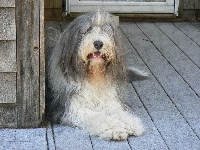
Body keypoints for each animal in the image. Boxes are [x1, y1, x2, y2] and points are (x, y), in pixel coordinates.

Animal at [46, 9, 148, 140]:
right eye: (87, 30)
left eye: (106, 30)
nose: (98, 43)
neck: (94, 76)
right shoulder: (71, 107)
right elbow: (96, 116)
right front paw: (115, 128)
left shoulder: (109, 99)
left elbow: (117, 110)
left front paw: (130, 123)